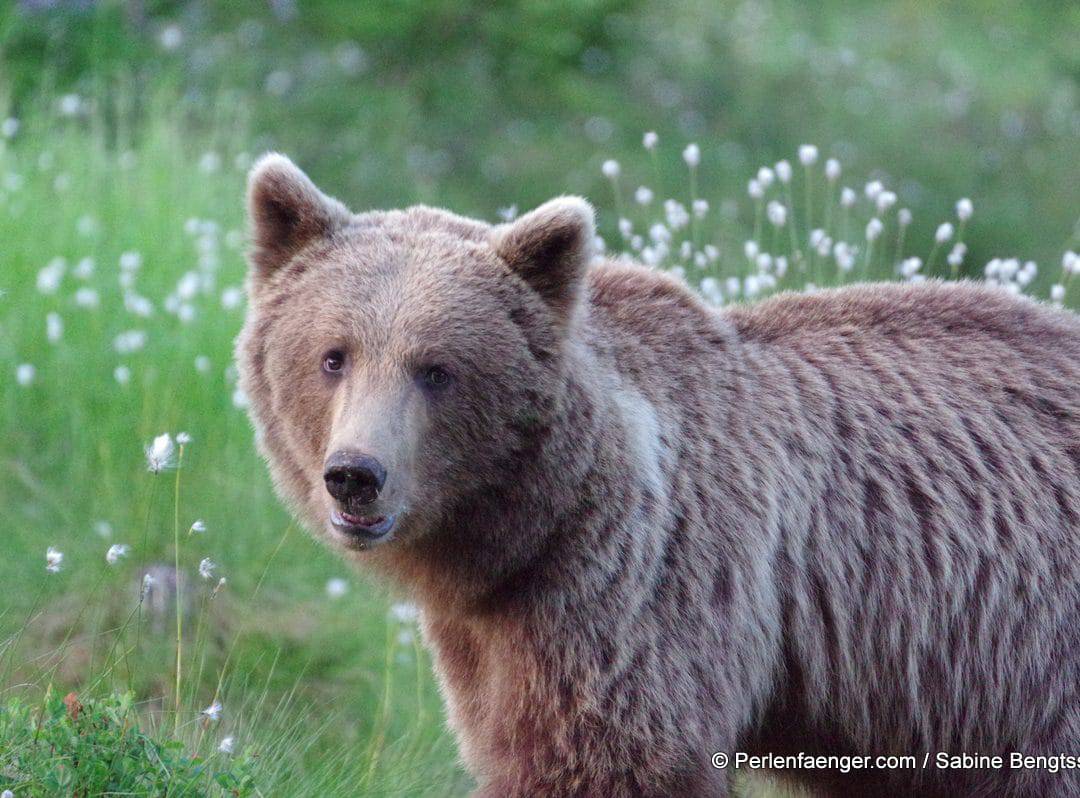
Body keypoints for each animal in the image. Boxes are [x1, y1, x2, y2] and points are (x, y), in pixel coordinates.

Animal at [236, 153, 1080, 794]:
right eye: (333, 355)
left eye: (436, 369)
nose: (356, 474)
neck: (522, 528)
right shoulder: (490, 639)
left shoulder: (642, 587)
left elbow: (611, 757)